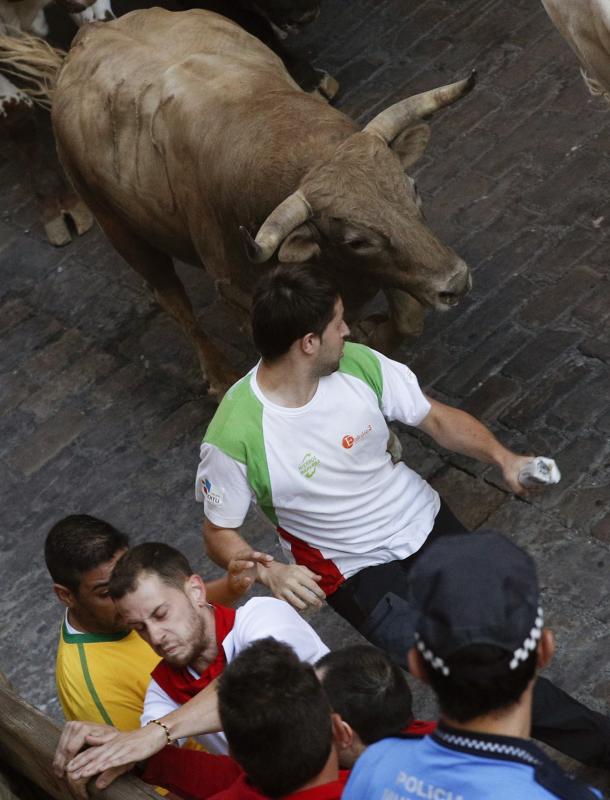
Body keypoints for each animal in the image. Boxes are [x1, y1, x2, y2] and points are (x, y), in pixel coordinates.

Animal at [0, 6, 472, 394]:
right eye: (356, 240)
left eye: (413, 189)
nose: (456, 281)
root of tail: (90, 34)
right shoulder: (243, 299)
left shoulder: (398, 265)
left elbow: (408, 318)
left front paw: (377, 333)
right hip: (121, 231)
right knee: (172, 299)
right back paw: (219, 374)